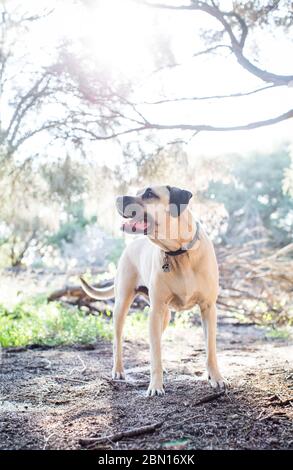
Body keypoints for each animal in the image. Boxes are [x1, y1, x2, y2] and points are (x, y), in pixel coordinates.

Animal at [79, 185, 224, 394]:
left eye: (149, 194)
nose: (117, 198)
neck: (179, 252)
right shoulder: (155, 311)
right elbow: (155, 354)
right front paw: (155, 385)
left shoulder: (208, 308)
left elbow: (211, 349)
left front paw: (216, 377)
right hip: (123, 305)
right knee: (118, 342)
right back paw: (118, 370)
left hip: (165, 315)